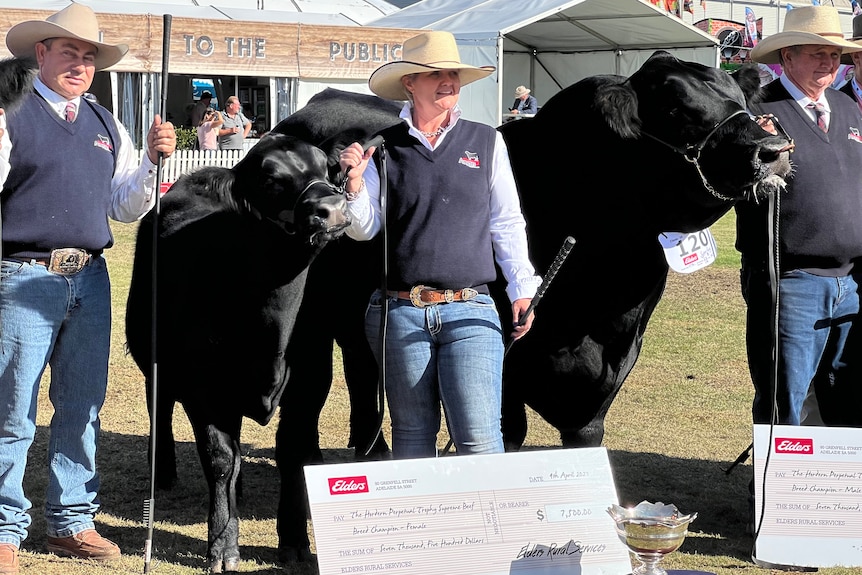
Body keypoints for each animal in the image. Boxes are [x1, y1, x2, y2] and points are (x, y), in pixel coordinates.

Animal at [124, 134, 352, 572]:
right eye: (270, 179)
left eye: (325, 169)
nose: (331, 208)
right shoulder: (203, 389)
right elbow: (219, 459)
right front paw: (222, 547)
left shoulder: (312, 380)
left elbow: (292, 452)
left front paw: (294, 541)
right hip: (155, 362)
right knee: (160, 408)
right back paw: (163, 473)